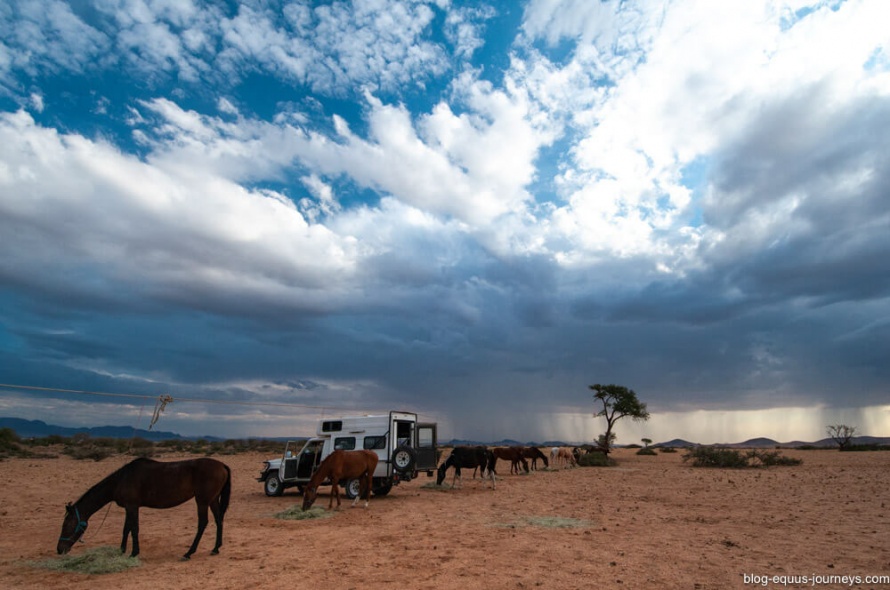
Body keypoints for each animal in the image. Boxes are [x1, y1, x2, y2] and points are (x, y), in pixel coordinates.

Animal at [55, 460, 229, 560]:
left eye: (67, 525)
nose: (59, 549)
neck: (121, 480)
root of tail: (222, 465)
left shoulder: (132, 506)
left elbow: (134, 529)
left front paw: (134, 552)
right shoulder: (129, 507)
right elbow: (126, 529)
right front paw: (121, 550)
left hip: (202, 501)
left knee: (203, 523)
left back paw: (189, 553)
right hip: (213, 499)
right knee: (219, 519)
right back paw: (216, 548)